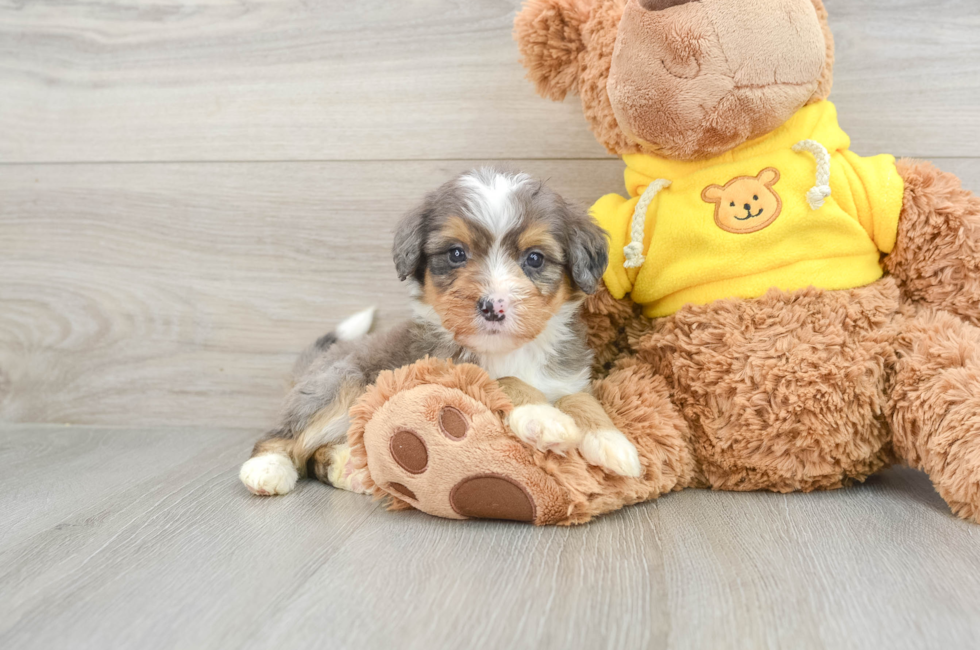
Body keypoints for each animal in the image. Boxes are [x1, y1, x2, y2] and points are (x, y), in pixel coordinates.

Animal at [242, 168, 648, 496]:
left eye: (534, 258)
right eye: (456, 254)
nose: (492, 306)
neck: (507, 351)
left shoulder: (567, 378)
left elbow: (583, 401)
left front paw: (611, 441)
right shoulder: (443, 378)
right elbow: (504, 382)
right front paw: (545, 418)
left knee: (316, 454)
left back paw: (350, 468)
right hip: (342, 386)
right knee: (283, 437)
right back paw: (266, 470)